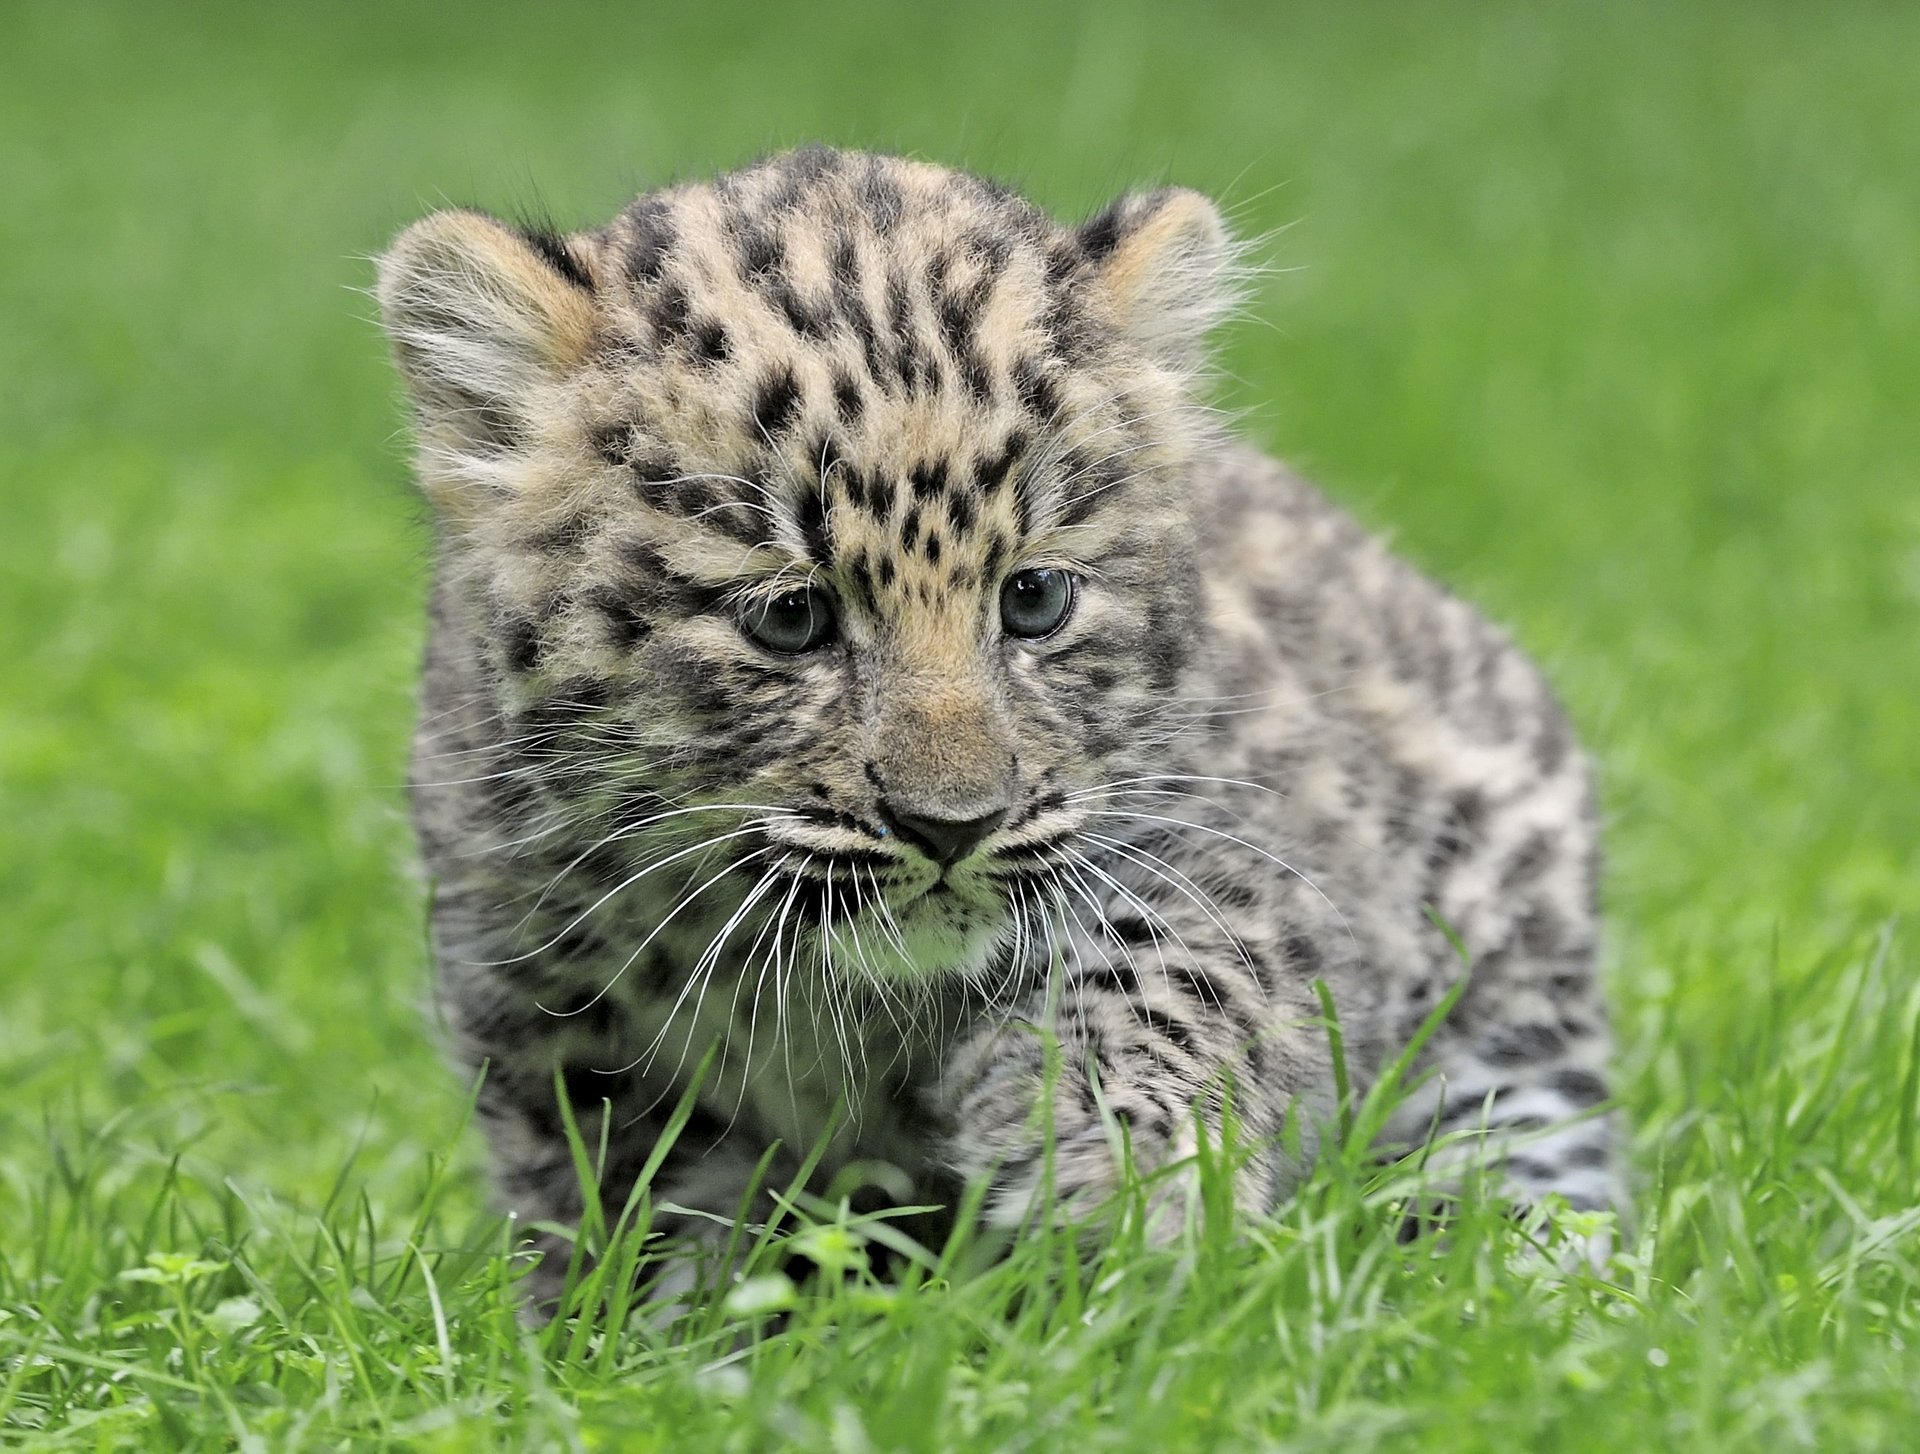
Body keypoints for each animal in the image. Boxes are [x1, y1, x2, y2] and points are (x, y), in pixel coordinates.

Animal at [375, 145, 1618, 1310]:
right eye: (790, 618)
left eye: (1035, 600)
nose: (951, 826)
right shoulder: (543, 994)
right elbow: (635, 1204)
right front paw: (668, 1336)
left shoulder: (1241, 844)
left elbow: (1167, 970)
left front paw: (1115, 1177)